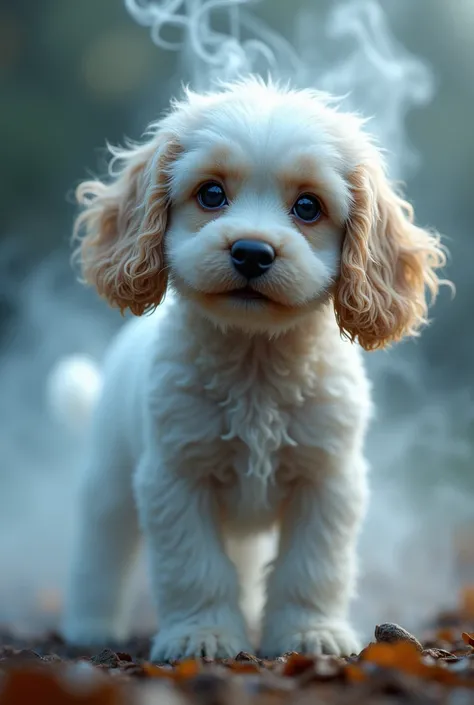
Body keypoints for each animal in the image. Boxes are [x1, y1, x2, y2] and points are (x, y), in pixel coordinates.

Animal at [61, 77, 446, 660]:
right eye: (211, 195)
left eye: (308, 207)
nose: (251, 252)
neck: (256, 364)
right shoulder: (176, 480)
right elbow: (195, 568)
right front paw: (203, 635)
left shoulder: (327, 481)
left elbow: (311, 569)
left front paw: (310, 633)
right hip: (109, 483)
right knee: (99, 554)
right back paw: (90, 624)